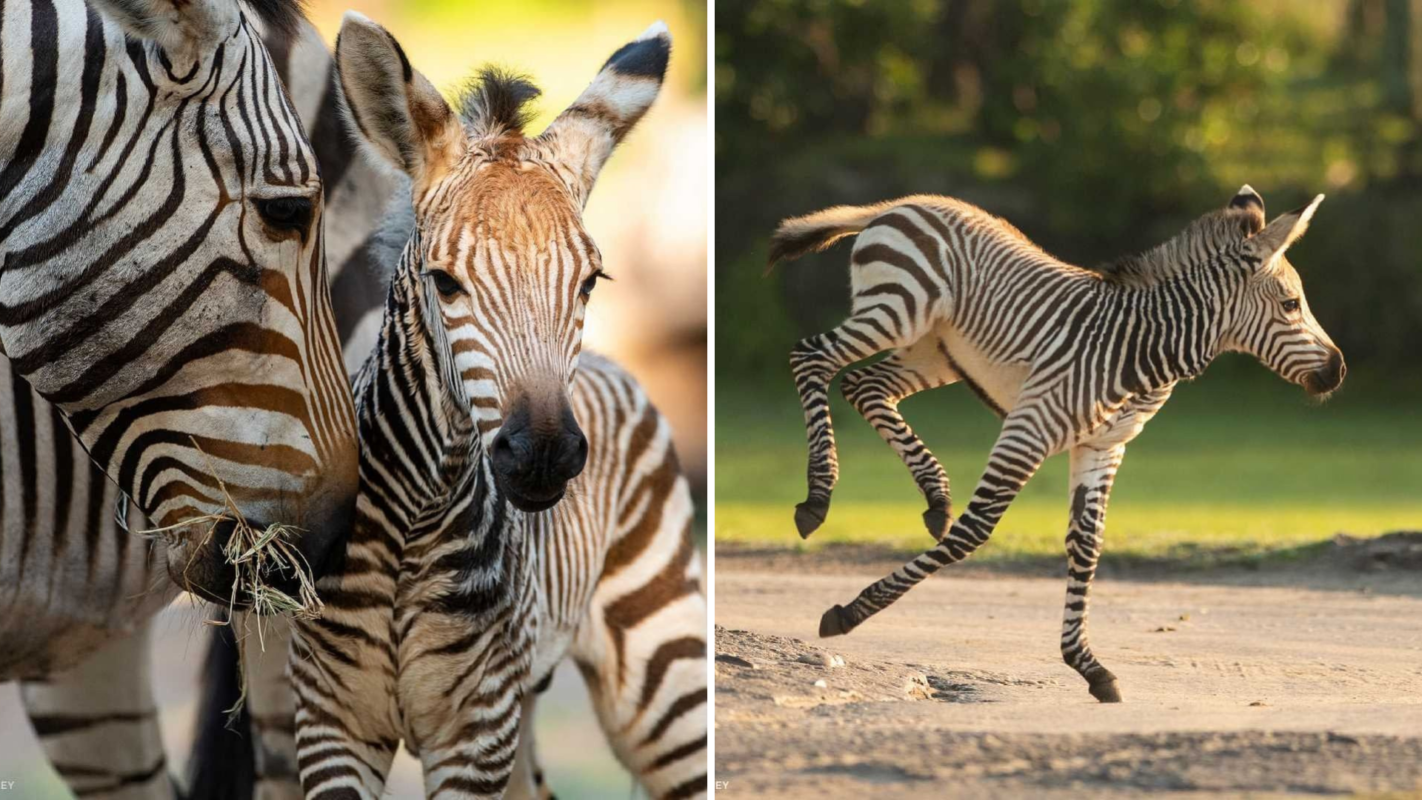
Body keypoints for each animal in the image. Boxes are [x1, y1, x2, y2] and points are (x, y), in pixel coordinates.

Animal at [288, 13, 705, 798]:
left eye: (589, 282)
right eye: (445, 283)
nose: (543, 454)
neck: (409, 533)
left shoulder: (475, 735)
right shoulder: (331, 724)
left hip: (664, 674)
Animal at [771, 188, 1344, 702]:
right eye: (1291, 304)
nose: (1338, 372)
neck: (1142, 345)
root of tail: (904, 203)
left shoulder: (1103, 447)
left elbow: (1085, 547)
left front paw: (1089, 666)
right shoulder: (1032, 424)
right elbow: (974, 532)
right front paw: (850, 612)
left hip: (931, 349)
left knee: (862, 385)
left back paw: (934, 495)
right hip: (897, 312)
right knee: (811, 357)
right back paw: (818, 498)